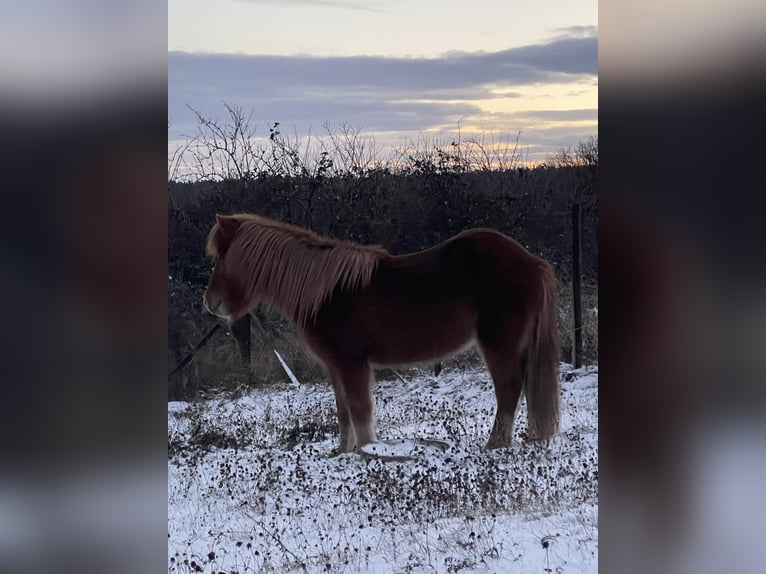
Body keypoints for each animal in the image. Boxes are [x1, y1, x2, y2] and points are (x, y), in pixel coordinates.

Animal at [203, 213, 560, 453]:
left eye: (222, 256)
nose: (210, 303)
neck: (324, 293)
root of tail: (532, 261)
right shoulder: (335, 367)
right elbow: (343, 411)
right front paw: (344, 452)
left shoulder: (352, 364)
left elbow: (360, 410)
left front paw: (368, 452)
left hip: (498, 344)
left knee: (509, 389)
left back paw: (495, 444)